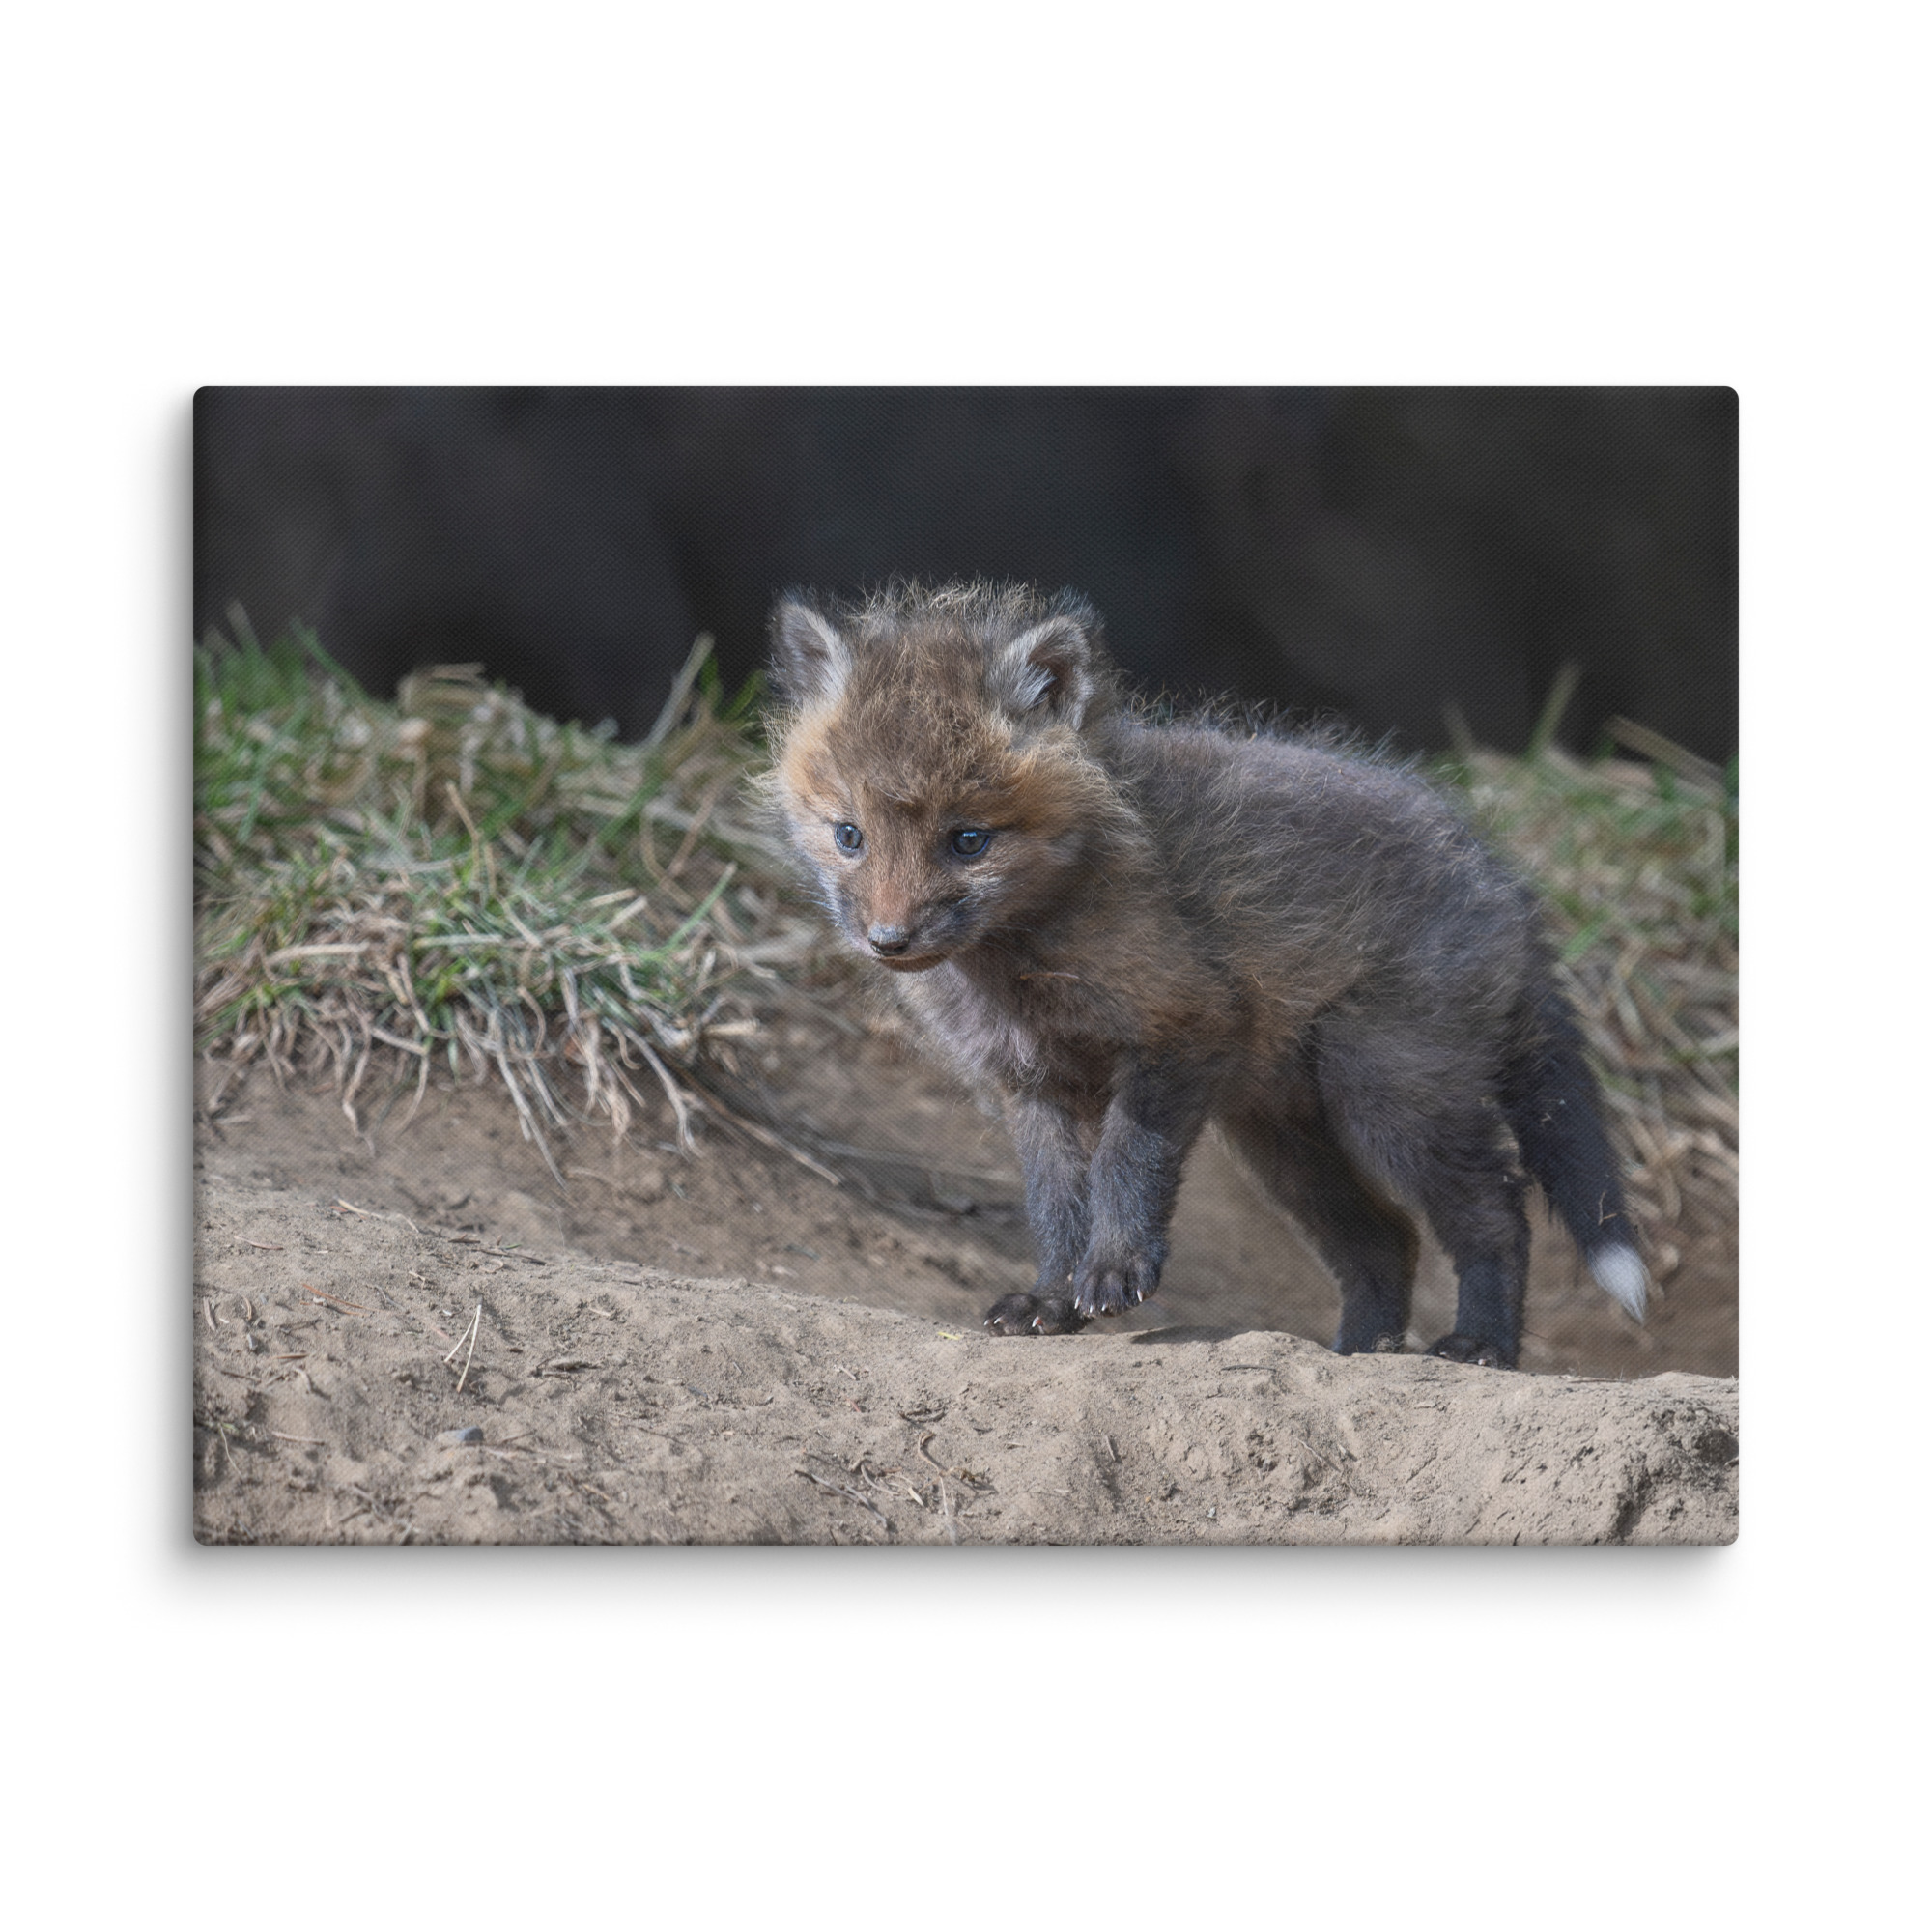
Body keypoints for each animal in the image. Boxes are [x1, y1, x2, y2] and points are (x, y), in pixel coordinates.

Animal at [764, 580, 1646, 1369]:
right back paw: (1358, 1353)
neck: (1021, 965)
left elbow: (1126, 1164)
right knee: (1385, 1240)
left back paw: (1481, 1345)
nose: (888, 940)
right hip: (1284, 1139)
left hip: (1388, 1093)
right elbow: (1055, 1205)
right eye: (849, 835)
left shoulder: (1183, 1026)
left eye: (968, 840)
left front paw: (1115, 1271)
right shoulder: (1033, 1083)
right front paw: (1051, 1299)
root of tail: (1504, 881)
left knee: (1497, 1211)